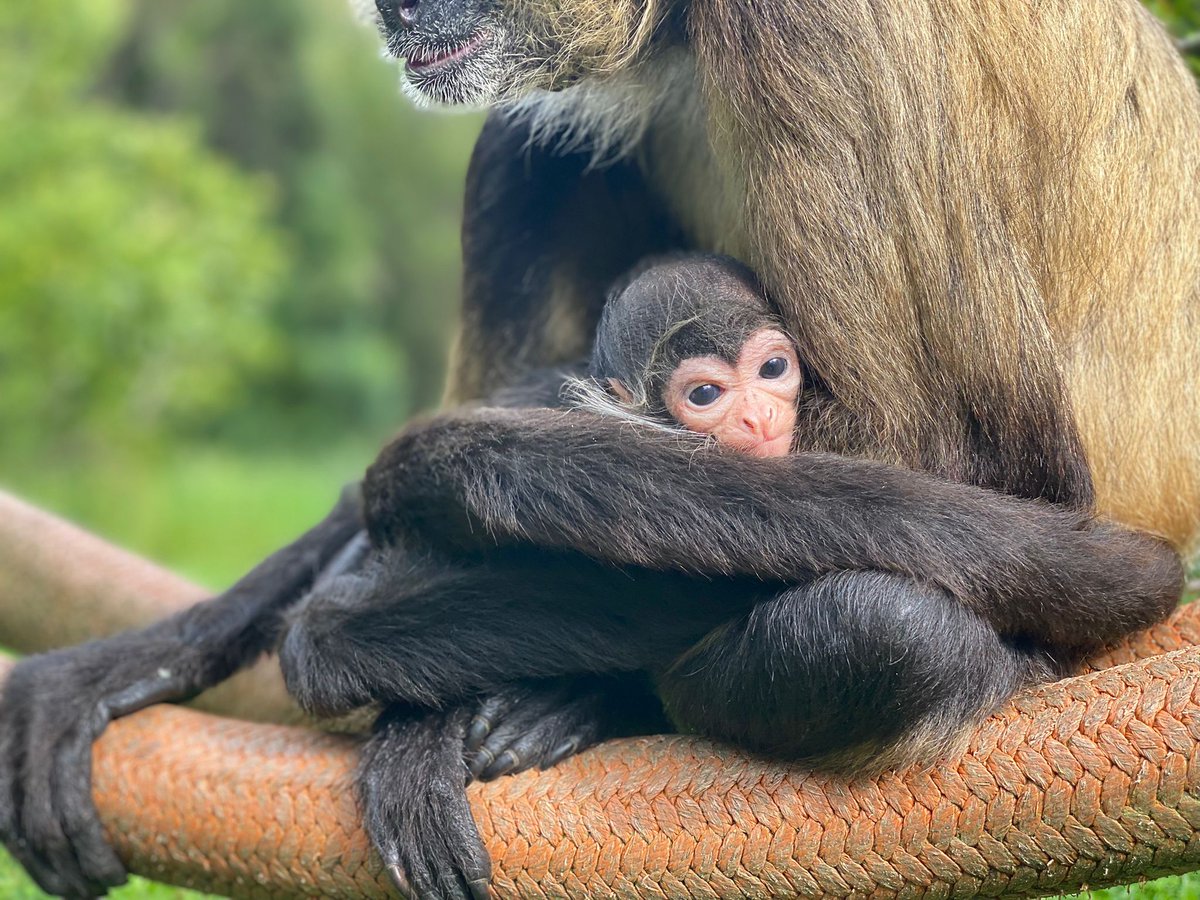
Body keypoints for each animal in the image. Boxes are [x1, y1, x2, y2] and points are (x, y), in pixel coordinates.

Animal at [2, 1, 1198, 899]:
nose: (396, 10)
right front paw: (143, 657)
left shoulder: (810, 22)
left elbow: (991, 481)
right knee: (530, 131)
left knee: (884, 628)